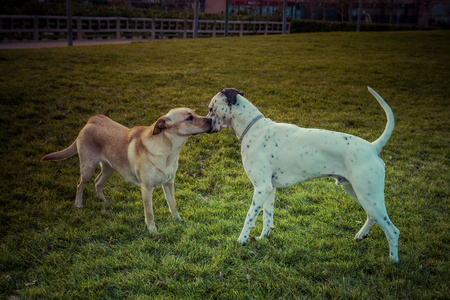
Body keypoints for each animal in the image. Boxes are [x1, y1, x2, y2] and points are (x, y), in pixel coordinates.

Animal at [42, 108, 211, 232]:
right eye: (189, 118)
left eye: (195, 113)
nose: (210, 119)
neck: (168, 150)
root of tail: (92, 119)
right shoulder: (146, 189)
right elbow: (149, 213)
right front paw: (152, 230)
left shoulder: (169, 184)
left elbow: (173, 205)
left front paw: (178, 221)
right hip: (88, 167)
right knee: (80, 184)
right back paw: (78, 204)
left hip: (109, 169)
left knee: (98, 182)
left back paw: (103, 200)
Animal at [207, 88, 400, 262]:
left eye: (210, 108)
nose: (206, 122)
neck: (254, 128)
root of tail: (373, 147)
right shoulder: (269, 189)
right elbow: (267, 217)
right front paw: (263, 237)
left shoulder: (261, 188)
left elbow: (249, 217)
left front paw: (242, 241)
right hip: (358, 193)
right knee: (373, 218)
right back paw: (361, 235)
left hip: (369, 197)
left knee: (392, 230)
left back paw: (393, 261)